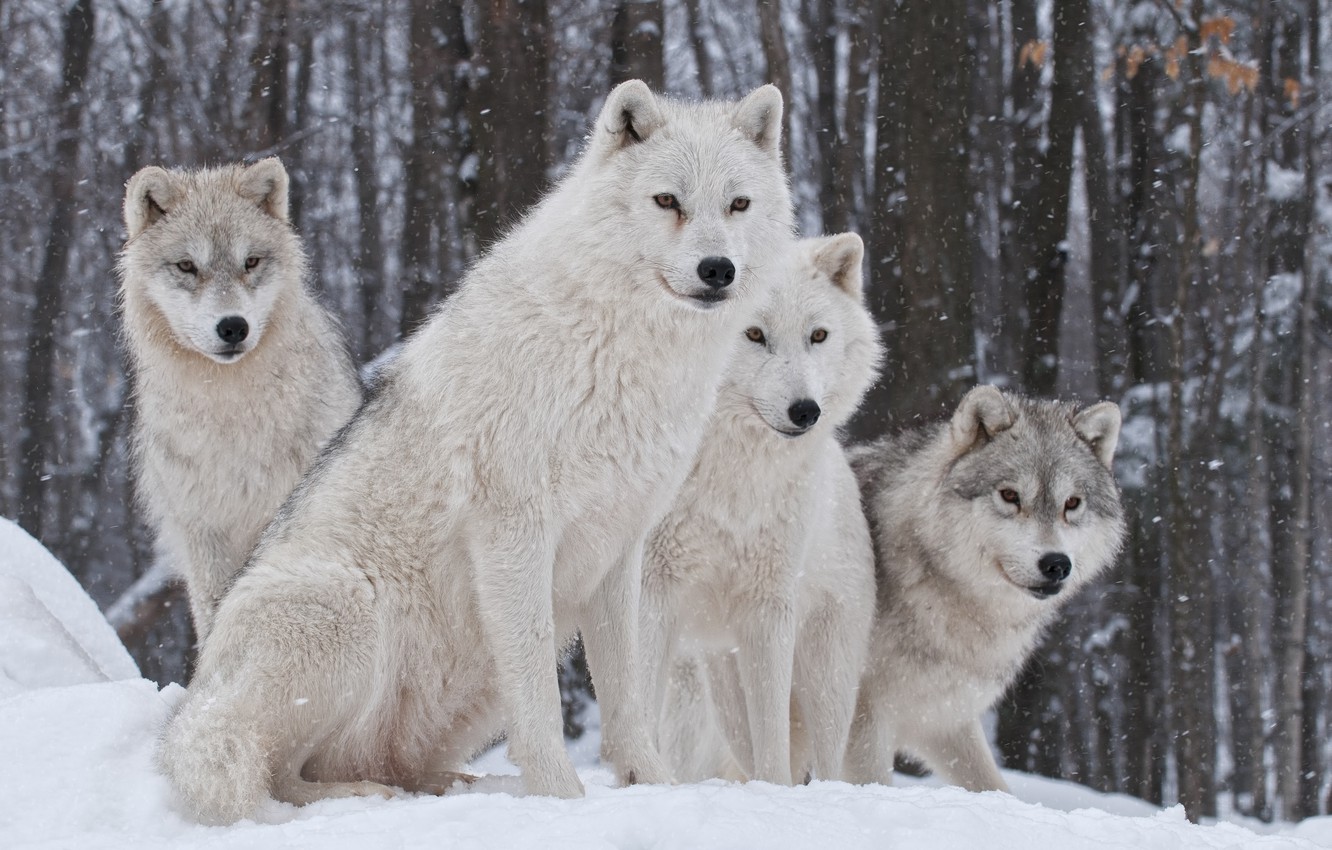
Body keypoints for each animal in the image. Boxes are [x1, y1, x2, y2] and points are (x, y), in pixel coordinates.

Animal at [158, 80, 795, 824]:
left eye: (738, 204)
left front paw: (653, 787)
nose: (717, 269)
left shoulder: (620, 547)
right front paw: (561, 799)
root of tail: (193, 704)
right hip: (347, 606)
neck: (618, 351)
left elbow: (628, 695)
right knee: (275, 773)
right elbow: (540, 697)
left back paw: (451, 786)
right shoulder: (513, 534)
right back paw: (364, 796)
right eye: (668, 201)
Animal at [642, 232, 882, 785]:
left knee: (825, 761)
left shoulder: (769, 608)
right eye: (752, 333)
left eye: (818, 335)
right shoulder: (651, 591)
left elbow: (773, 741)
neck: (729, 476)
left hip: (825, 678)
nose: (806, 411)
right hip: (721, 687)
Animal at [842, 385, 1126, 792]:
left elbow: (993, 787)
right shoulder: (862, 718)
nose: (1056, 564)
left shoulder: (944, 718)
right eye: (1009, 495)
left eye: (1071, 503)